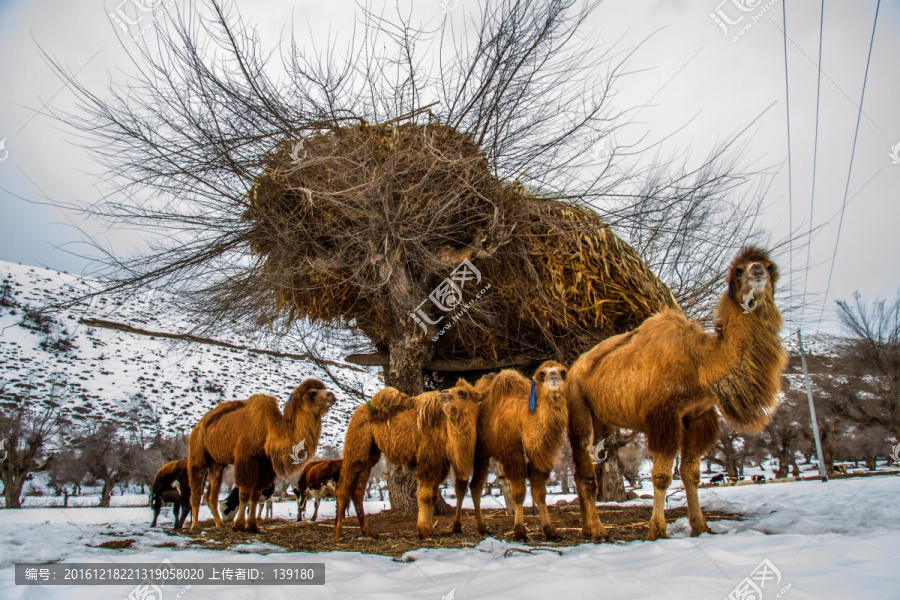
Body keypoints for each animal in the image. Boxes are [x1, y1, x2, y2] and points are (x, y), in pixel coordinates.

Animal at [188, 378, 336, 532]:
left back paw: (219, 524)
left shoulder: (265, 464)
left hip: (217, 463)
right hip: (198, 453)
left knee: (211, 493)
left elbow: (255, 496)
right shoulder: (246, 459)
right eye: (312, 393)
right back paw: (195, 526)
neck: (269, 429)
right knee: (196, 490)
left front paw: (252, 525)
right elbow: (244, 493)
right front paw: (239, 525)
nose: (332, 396)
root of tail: (200, 424)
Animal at [334, 382, 482, 540]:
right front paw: (424, 531)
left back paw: (369, 532)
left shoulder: (439, 466)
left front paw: (430, 530)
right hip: (355, 451)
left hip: (369, 457)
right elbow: (425, 496)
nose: (444, 393)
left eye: (462, 393)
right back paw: (339, 532)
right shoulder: (428, 462)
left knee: (358, 492)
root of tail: (358, 411)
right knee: (342, 488)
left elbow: (433, 497)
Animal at [468, 364, 568, 540]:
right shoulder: (513, 454)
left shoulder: (537, 459)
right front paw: (520, 531)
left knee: (475, 485)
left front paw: (550, 531)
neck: (524, 422)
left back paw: (482, 528)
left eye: (563, 372)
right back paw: (481, 527)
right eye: (542, 374)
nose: (554, 375)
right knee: (475, 486)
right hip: (479, 452)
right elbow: (519, 493)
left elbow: (540, 494)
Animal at [568, 246, 788, 540]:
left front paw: (700, 526)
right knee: (585, 469)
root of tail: (573, 369)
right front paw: (657, 530)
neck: (702, 363)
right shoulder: (665, 416)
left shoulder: (698, 416)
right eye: (738, 271)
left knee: (592, 464)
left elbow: (690, 473)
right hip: (578, 403)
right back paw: (599, 531)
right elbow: (662, 476)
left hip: (603, 419)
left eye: (769, 266)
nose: (757, 270)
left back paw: (587, 528)